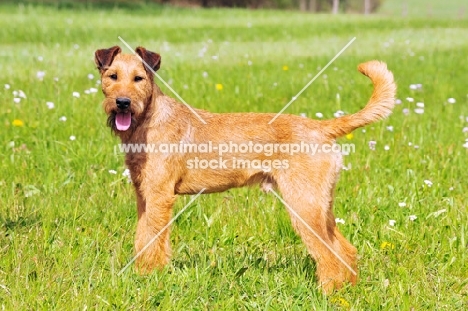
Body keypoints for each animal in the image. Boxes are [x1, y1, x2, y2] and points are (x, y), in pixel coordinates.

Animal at [94, 45, 394, 294]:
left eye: (138, 78)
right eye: (112, 76)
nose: (122, 102)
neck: (148, 120)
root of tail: (321, 127)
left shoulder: (159, 196)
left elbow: (153, 240)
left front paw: (150, 276)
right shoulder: (144, 195)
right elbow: (142, 236)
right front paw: (141, 274)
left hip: (303, 205)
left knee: (329, 254)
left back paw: (328, 293)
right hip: (320, 204)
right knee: (345, 249)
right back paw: (347, 289)